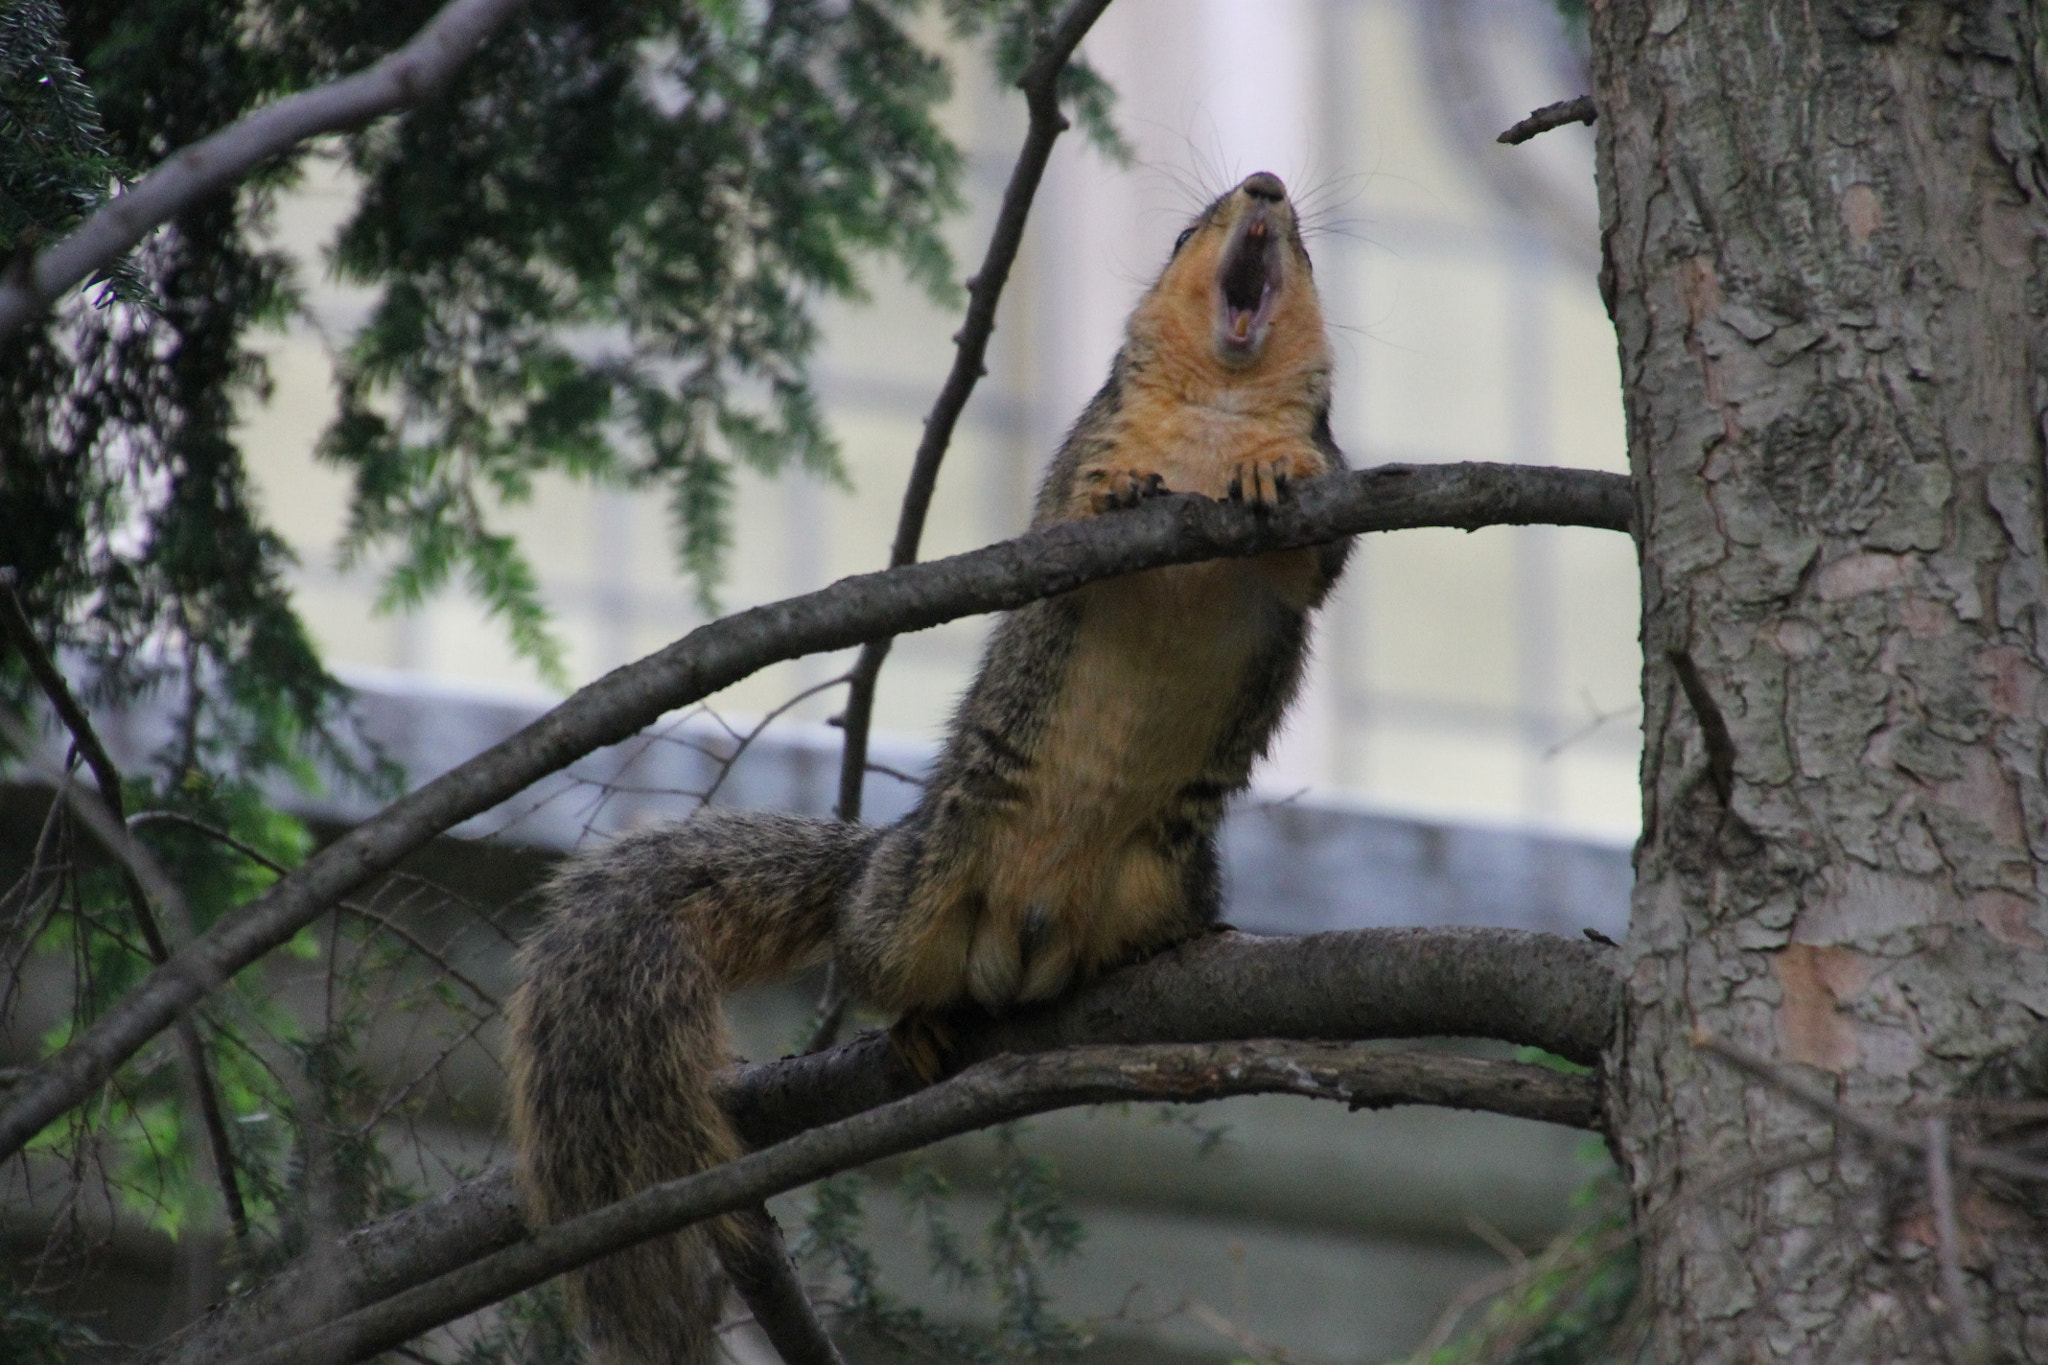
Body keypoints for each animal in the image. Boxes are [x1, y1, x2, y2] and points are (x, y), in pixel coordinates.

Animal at [508, 170, 1349, 1365]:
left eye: (1308, 254)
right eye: (1195, 226)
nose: (1268, 187)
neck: (1221, 404)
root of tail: (1029, 939)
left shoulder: (1330, 500)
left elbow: (1307, 556)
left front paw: (1270, 467)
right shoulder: (1074, 464)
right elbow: (1060, 522)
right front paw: (1120, 493)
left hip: (1158, 875)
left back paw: (1175, 949)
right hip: (914, 895)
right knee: (871, 958)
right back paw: (911, 1025)